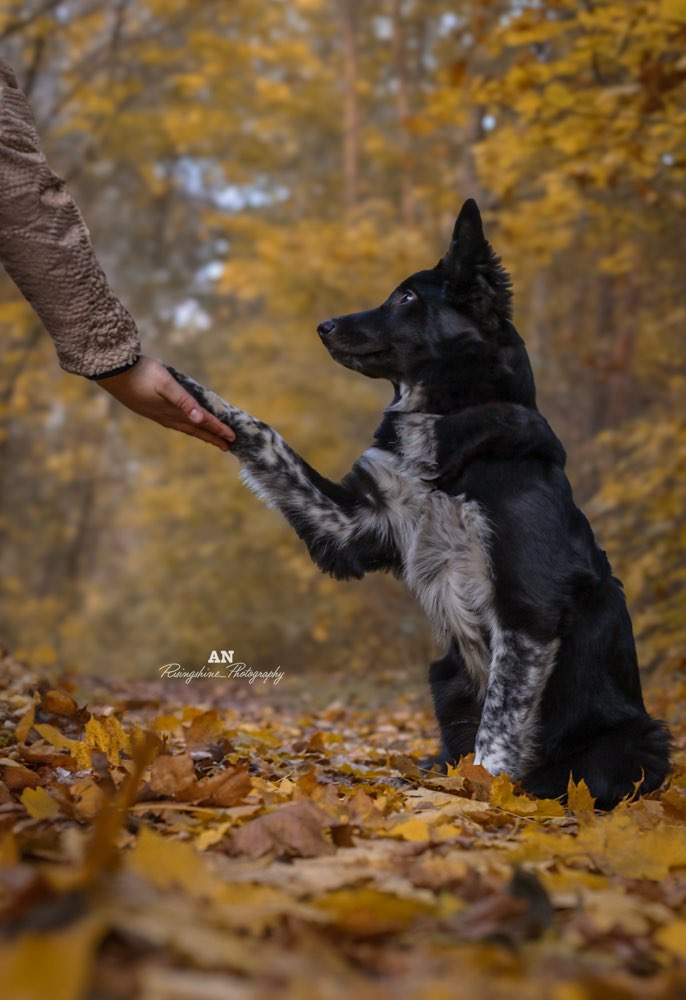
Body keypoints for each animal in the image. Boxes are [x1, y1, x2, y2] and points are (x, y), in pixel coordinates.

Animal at [169, 199, 676, 808]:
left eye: (407, 298)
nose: (323, 326)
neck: (448, 421)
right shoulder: (355, 522)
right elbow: (265, 436)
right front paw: (190, 392)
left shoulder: (529, 604)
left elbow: (499, 725)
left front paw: (487, 792)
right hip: (447, 676)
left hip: (637, 739)